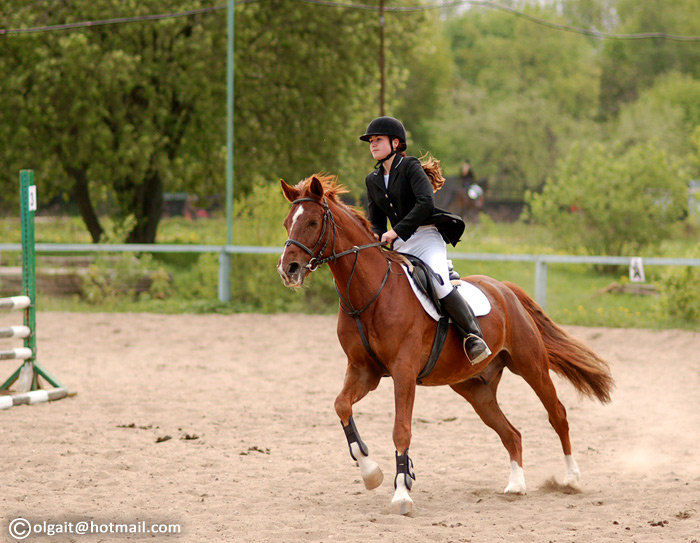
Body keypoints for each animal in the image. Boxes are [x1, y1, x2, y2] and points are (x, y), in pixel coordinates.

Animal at [278, 175, 612, 520]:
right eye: (288, 222)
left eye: (313, 222)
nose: (288, 269)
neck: (368, 294)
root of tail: (505, 289)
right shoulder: (364, 371)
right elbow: (341, 405)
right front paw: (372, 473)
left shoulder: (403, 372)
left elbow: (401, 430)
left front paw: (402, 494)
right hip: (474, 388)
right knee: (511, 433)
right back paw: (516, 485)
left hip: (530, 365)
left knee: (557, 414)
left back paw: (571, 479)